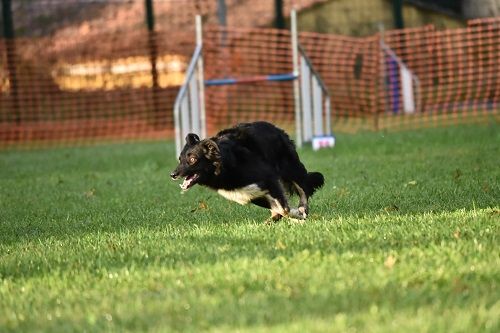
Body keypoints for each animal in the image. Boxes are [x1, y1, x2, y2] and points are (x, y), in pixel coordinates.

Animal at [170, 120, 326, 219]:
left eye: (192, 159)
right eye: (180, 159)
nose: (173, 174)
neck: (226, 166)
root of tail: (277, 128)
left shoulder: (268, 178)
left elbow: (284, 208)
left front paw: (297, 215)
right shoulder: (248, 193)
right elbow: (279, 209)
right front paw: (292, 217)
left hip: (289, 167)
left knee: (303, 187)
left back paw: (302, 208)